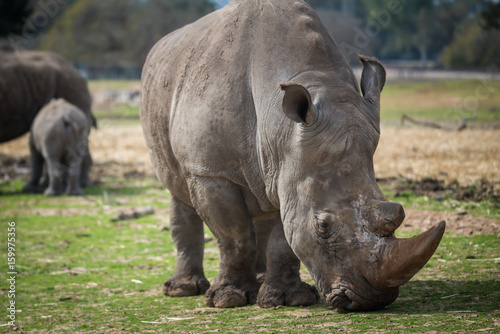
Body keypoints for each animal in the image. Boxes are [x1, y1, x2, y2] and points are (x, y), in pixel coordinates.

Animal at [140, 0, 446, 312]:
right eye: (322, 226)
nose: (371, 300)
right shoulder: (211, 171)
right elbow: (234, 237)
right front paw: (228, 300)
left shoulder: (290, 167)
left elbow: (284, 237)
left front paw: (289, 299)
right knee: (178, 190)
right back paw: (182, 290)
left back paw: (258, 281)